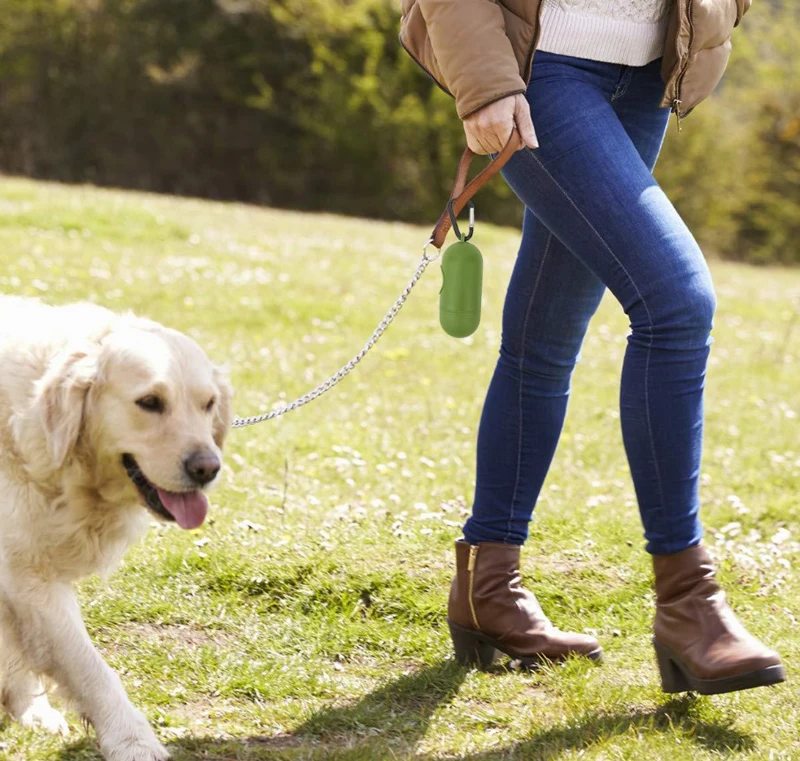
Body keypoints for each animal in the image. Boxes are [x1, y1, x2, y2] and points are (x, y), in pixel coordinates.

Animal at [0, 296, 231, 760]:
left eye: (208, 403)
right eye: (150, 402)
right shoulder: (28, 576)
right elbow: (91, 668)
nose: (208, 468)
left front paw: (32, 711)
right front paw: (132, 739)